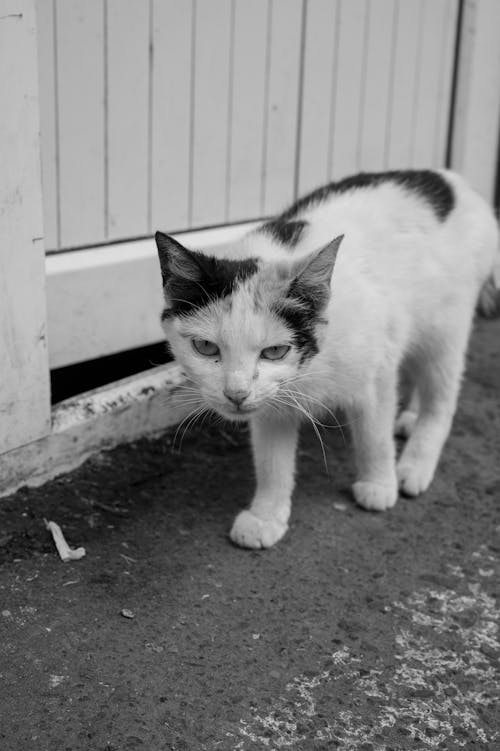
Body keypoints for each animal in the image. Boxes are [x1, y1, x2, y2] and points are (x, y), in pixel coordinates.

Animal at [154, 169, 498, 552]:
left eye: (275, 351)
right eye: (205, 347)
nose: (236, 394)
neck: (311, 367)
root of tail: (454, 181)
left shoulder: (376, 372)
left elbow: (374, 435)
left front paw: (379, 483)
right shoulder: (273, 401)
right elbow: (272, 460)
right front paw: (266, 516)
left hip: (447, 326)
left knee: (442, 396)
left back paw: (416, 462)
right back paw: (410, 417)